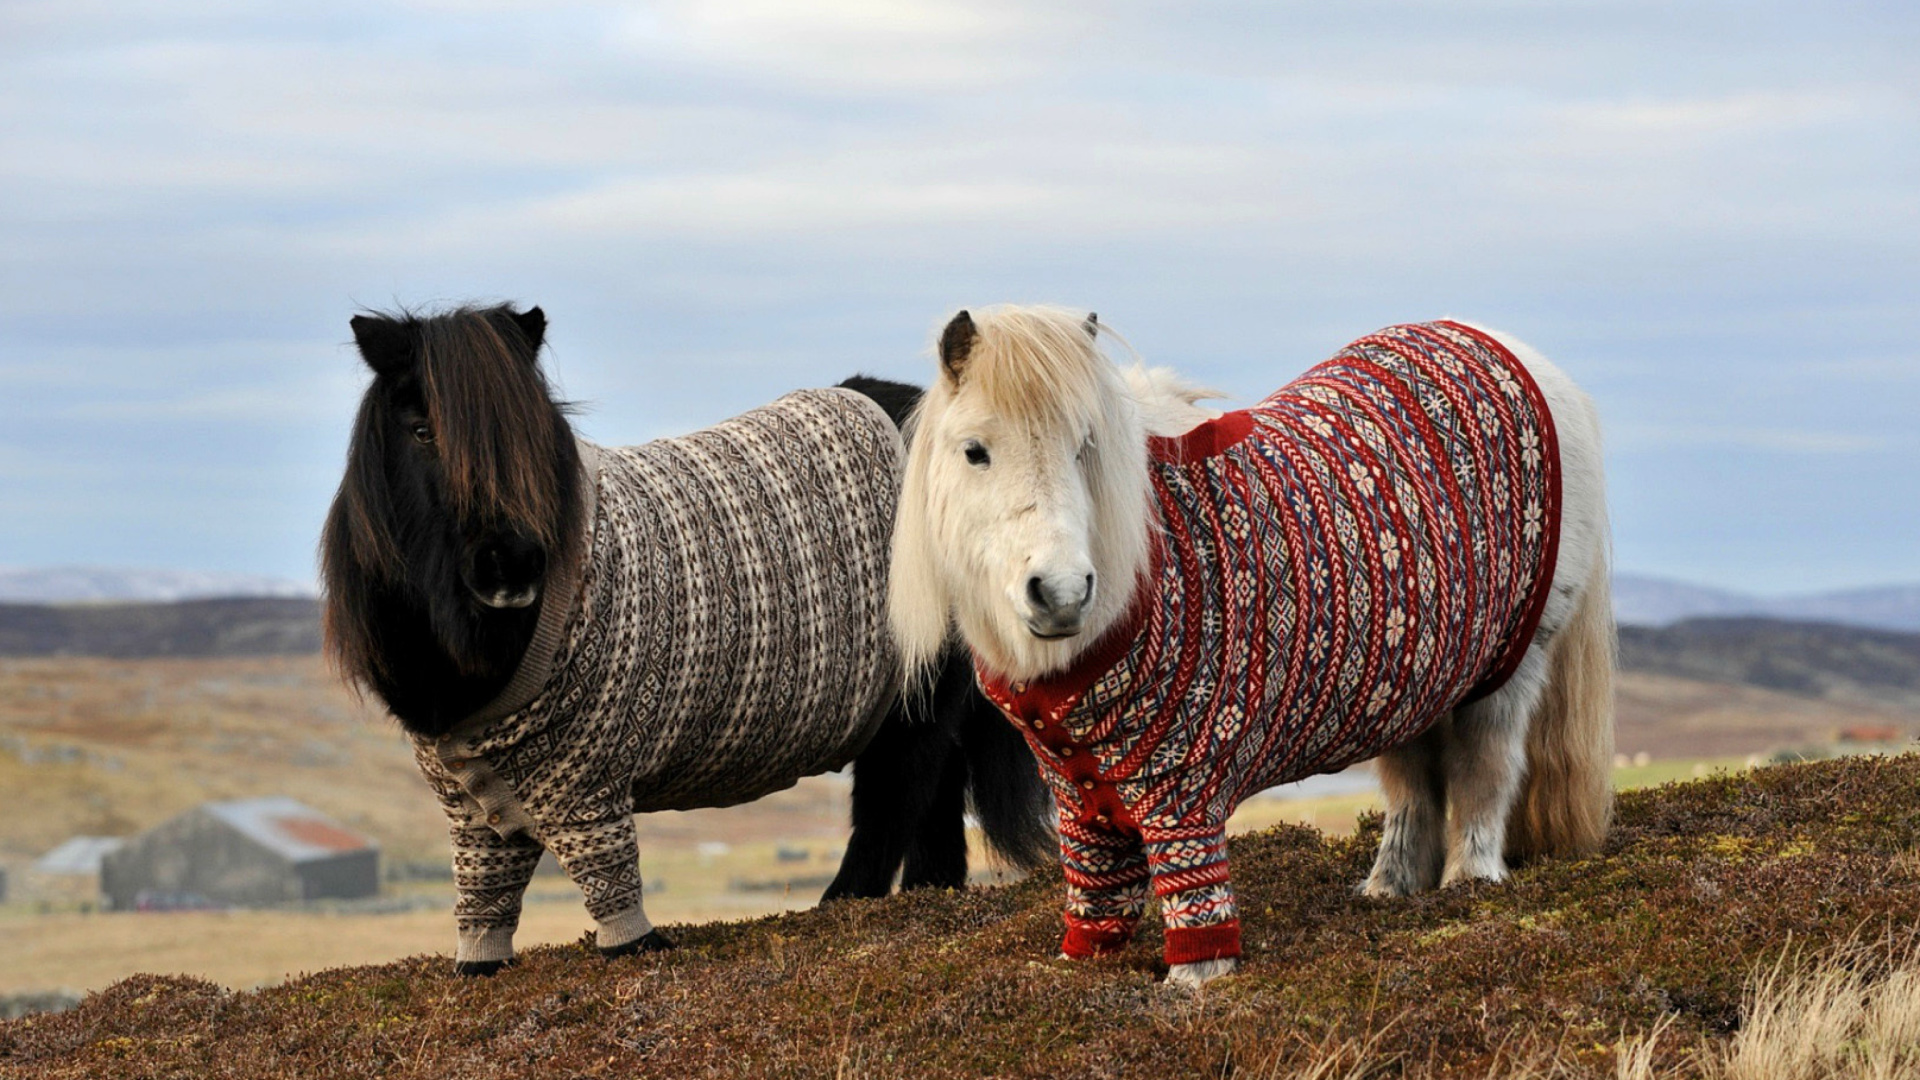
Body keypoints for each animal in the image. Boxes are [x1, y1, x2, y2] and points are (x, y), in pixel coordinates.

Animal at [322, 303, 1059, 968]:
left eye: (533, 433)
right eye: (420, 430)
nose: (512, 565)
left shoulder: (589, 786)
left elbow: (610, 882)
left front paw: (635, 949)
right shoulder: (473, 811)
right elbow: (485, 897)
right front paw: (480, 964)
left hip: (913, 696)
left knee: (896, 797)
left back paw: (844, 904)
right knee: (933, 796)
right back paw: (927, 895)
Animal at [890, 299, 1612, 983]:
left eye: (1084, 445)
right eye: (975, 450)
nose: (1062, 592)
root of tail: (1514, 353)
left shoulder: (1183, 793)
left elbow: (1194, 899)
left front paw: (1193, 981)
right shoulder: (1081, 802)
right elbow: (1097, 900)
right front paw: (1079, 969)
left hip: (1510, 667)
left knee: (1485, 769)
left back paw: (1471, 883)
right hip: (1411, 681)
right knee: (1413, 786)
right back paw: (1390, 889)